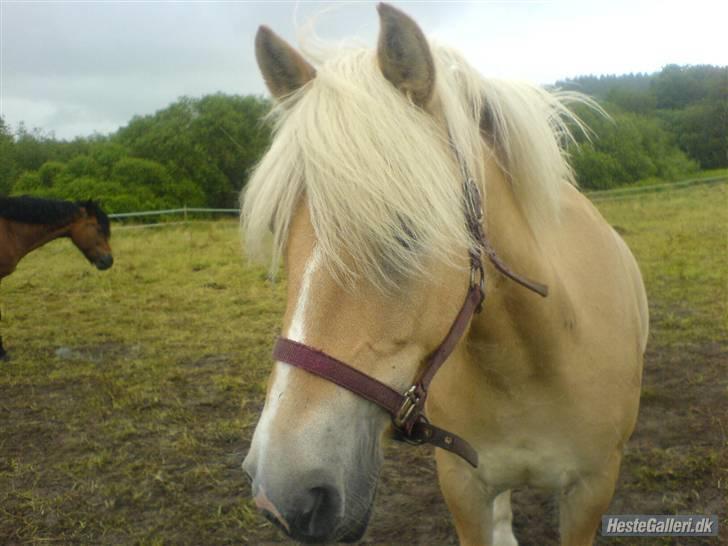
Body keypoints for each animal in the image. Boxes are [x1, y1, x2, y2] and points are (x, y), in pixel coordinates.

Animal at [240, 5, 648, 544]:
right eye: (279, 231)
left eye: (406, 231)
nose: (281, 496)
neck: (535, 362)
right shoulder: (462, 484)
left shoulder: (592, 489)